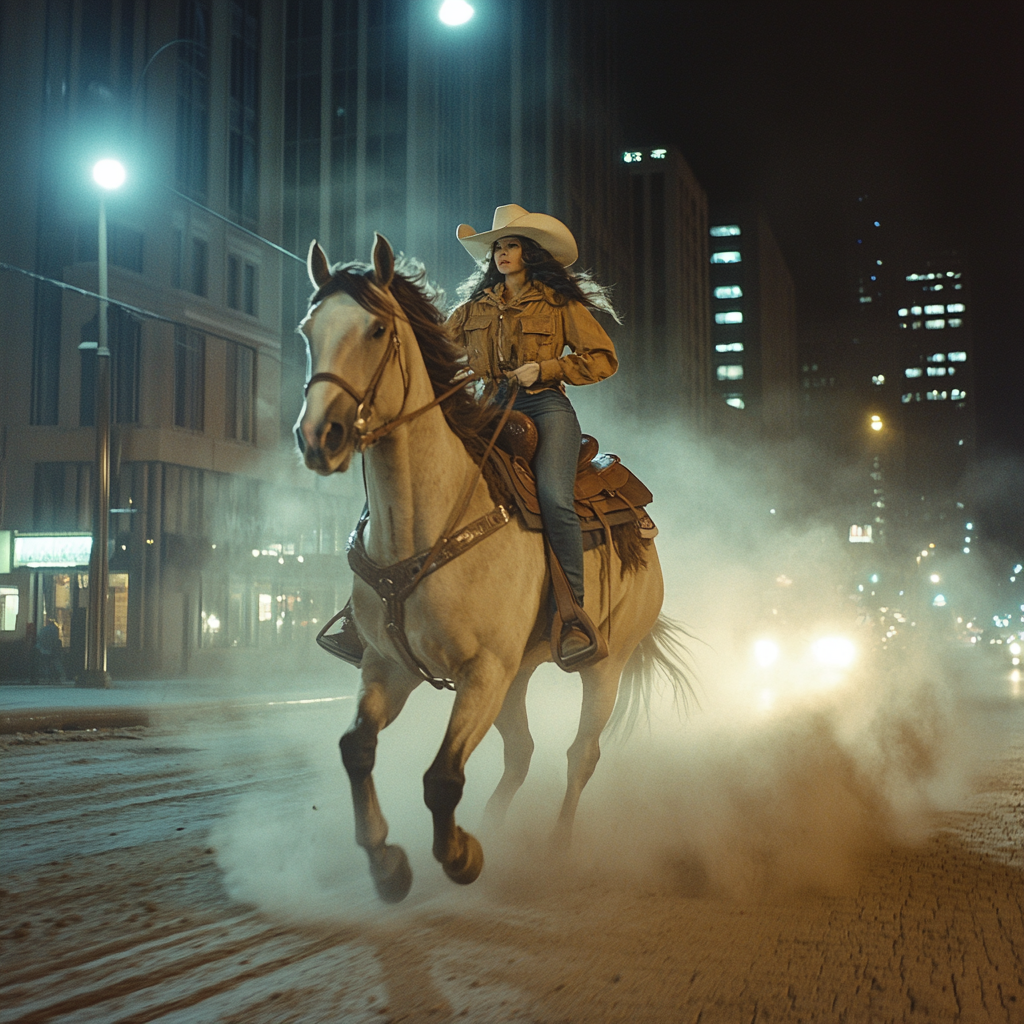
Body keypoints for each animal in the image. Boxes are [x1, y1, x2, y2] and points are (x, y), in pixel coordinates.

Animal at [296, 234, 696, 905]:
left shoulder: (481, 672)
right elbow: (356, 748)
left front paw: (458, 855)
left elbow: (441, 777)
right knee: (523, 752)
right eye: (308, 329)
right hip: (518, 674)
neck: (424, 522)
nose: (318, 437)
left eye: (377, 329)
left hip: (603, 666)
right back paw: (498, 828)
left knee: (579, 753)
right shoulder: (389, 665)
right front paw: (388, 864)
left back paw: (554, 848)